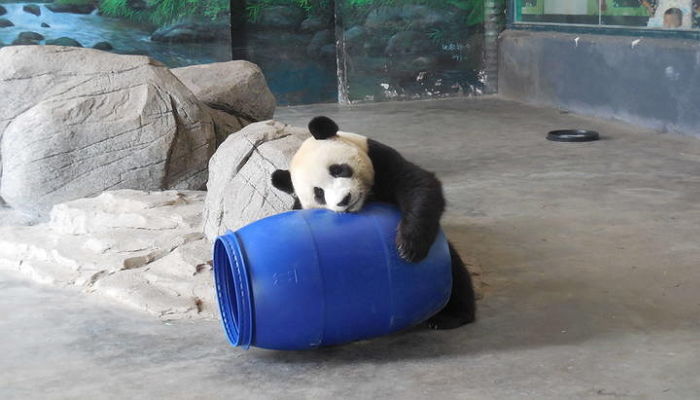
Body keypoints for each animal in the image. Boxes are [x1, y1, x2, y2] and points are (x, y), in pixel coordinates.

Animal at [272, 115, 476, 328]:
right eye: (319, 193)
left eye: (337, 170)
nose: (344, 200)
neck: (367, 198)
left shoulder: (380, 159)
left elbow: (418, 185)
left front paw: (408, 246)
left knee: (456, 272)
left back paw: (452, 315)